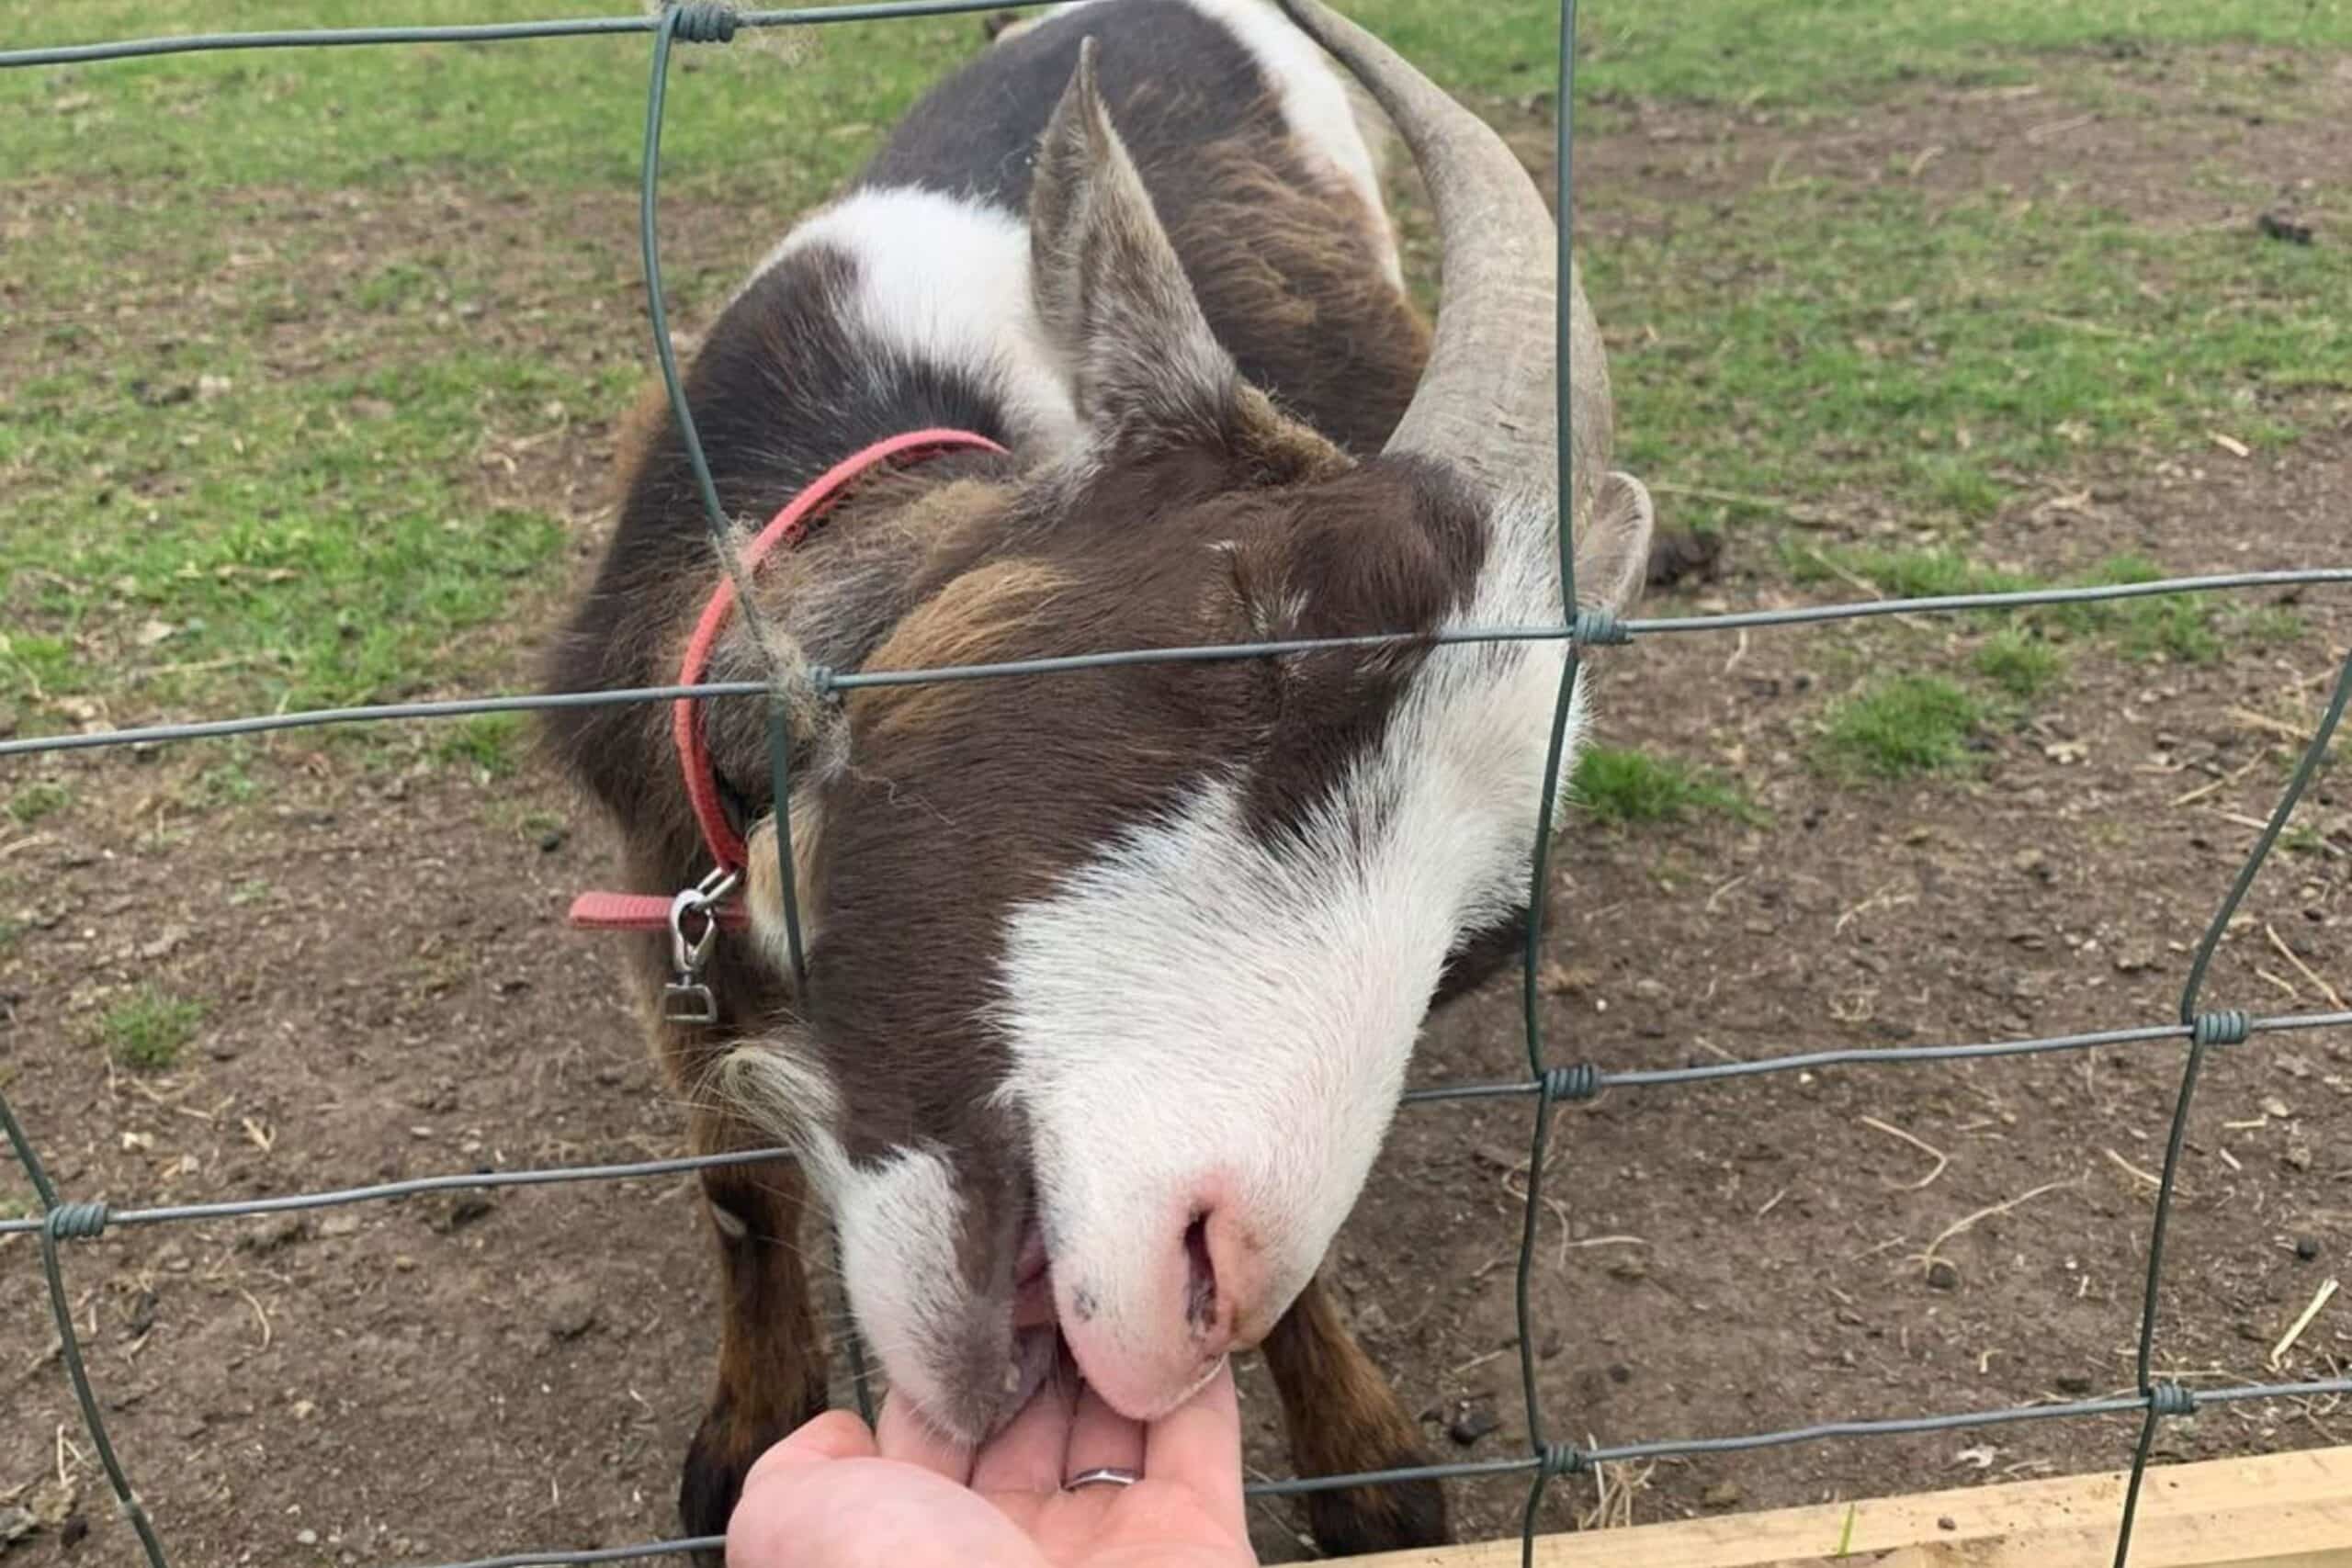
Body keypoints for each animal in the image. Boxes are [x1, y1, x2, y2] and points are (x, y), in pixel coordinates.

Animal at [545, 0, 1656, 1551]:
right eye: (1258, 618)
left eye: (1479, 947)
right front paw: (742, 1446)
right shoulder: (657, 875)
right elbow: (735, 1180)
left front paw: (1370, 1468)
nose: (1199, 1280)